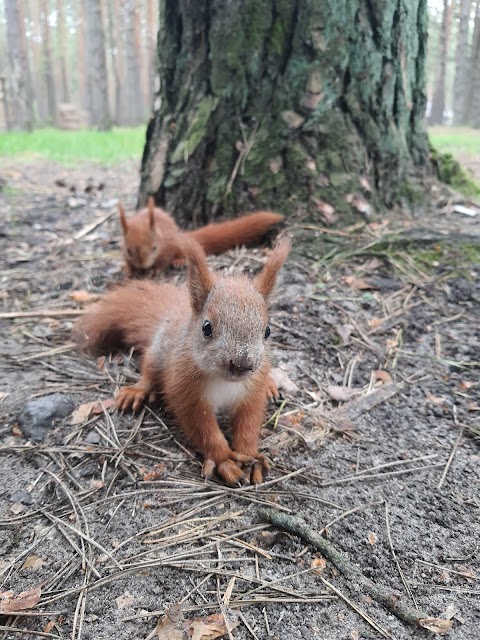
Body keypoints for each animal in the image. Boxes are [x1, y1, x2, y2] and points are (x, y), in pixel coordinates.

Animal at [73, 236, 290, 484]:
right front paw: (224, 459)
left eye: (268, 331)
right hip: (158, 354)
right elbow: (203, 428)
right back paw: (138, 391)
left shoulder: (250, 393)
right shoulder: (186, 392)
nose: (242, 365)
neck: (224, 381)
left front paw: (250, 456)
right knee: (148, 371)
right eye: (206, 328)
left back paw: (271, 386)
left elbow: (249, 424)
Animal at [118, 195, 284, 276]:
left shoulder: (166, 247)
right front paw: (129, 269)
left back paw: (179, 261)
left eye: (154, 248)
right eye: (128, 250)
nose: (143, 267)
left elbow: (163, 260)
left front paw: (155, 270)